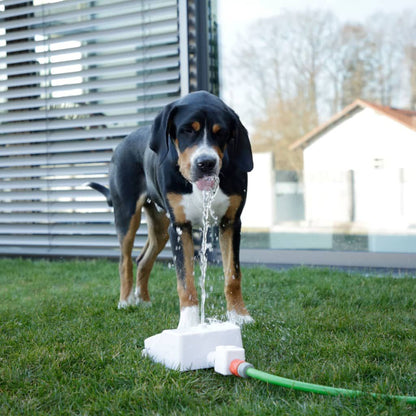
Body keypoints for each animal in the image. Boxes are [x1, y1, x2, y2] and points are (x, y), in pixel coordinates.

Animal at [88, 92, 254, 328]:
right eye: (187, 130)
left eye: (220, 132)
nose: (206, 163)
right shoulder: (180, 227)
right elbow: (185, 281)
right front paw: (189, 323)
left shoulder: (230, 223)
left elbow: (233, 275)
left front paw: (239, 315)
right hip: (127, 215)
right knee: (125, 261)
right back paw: (126, 301)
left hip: (160, 227)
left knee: (143, 260)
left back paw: (144, 301)